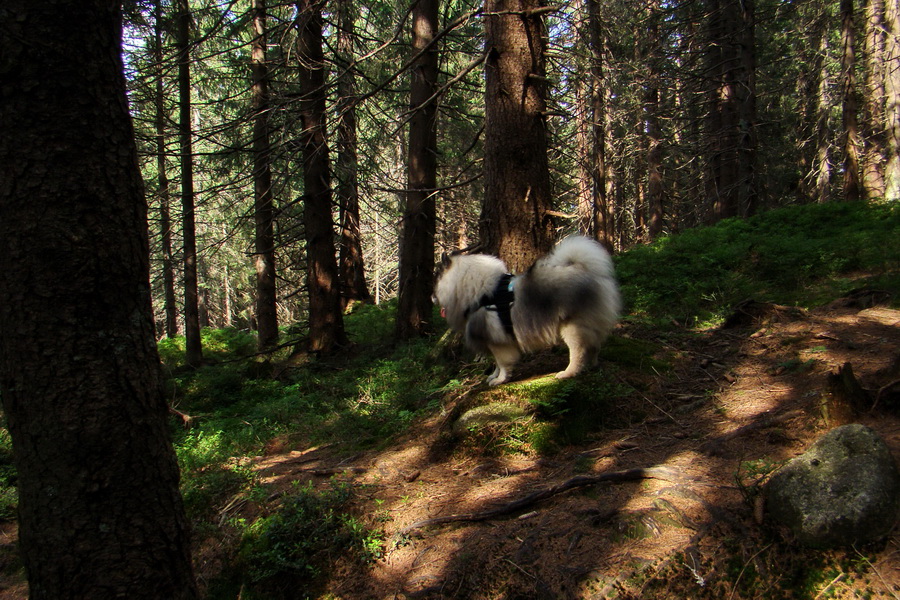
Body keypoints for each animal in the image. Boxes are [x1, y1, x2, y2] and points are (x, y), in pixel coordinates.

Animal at [434, 234, 620, 384]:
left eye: (436, 278)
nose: (432, 297)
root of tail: (585, 269)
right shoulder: (494, 339)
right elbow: (496, 363)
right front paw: (494, 376)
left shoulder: (498, 342)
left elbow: (502, 363)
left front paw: (500, 379)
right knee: (594, 346)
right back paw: (592, 365)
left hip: (572, 327)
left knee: (579, 350)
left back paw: (568, 372)